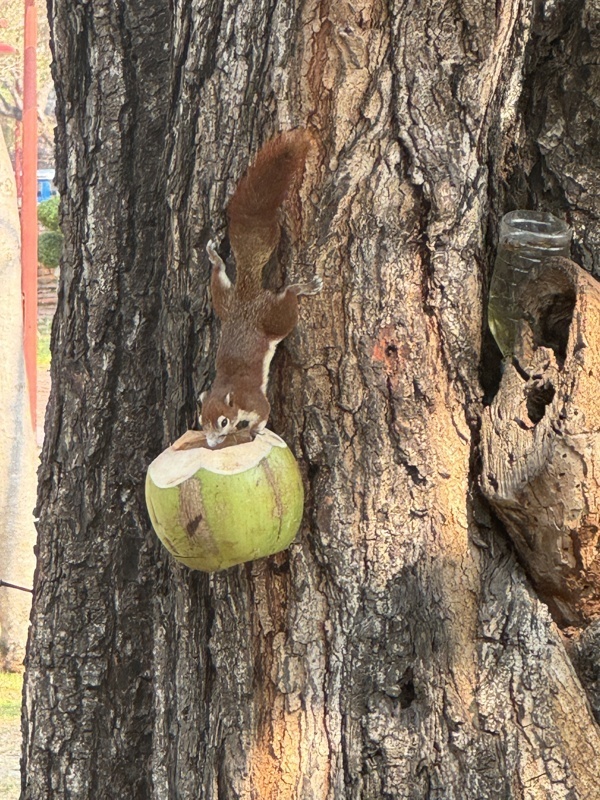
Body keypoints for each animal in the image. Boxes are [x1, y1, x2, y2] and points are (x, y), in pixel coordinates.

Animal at [200, 129, 322, 448]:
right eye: (200, 422)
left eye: (223, 422)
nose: (212, 445)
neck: (227, 388)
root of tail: (246, 292)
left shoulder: (252, 399)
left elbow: (263, 411)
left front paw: (256, 430)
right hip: (224, 301)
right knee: (218, 277)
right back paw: (215, 257)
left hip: (273, 319)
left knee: (287, 301)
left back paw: (301, 287)